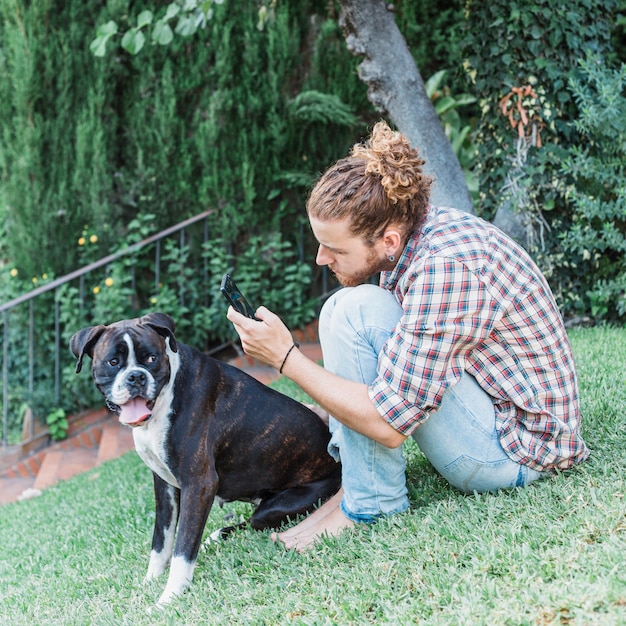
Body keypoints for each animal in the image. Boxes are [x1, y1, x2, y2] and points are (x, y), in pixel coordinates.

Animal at [70, 312, 338, 604]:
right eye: (113, 362)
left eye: (151, 358)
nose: (136, 377)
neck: (165, 397)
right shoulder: (164, 486)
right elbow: (161, 540)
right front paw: (149, 581)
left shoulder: (198, 484)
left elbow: (183, 547)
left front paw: (169, 598)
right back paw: (215, 538)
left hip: (278, 507)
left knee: (253, 522)